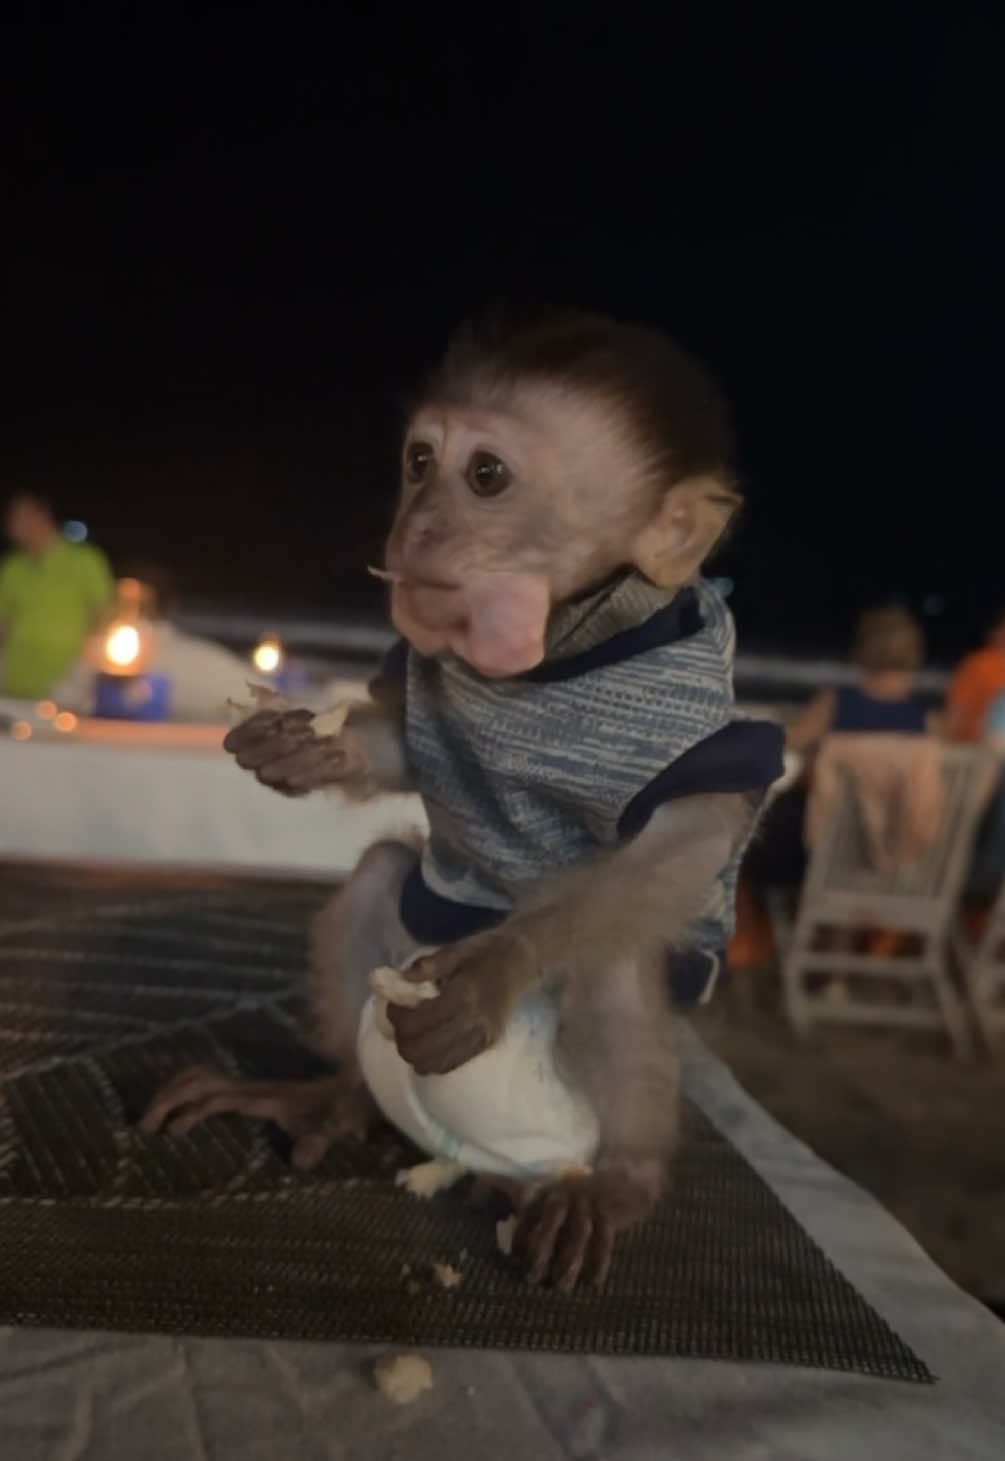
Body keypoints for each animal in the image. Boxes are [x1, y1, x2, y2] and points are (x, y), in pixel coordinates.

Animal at [142, 302, 785, 1293]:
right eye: (417, 461)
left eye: (485, 476)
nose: (411, 530)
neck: (565, 641)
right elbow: (405, 749)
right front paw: (297, 749)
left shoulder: (680, 706)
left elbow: (683, 841)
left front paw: (494, 968)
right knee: (382, 872)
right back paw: (336, 1094)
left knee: (612, 955)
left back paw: (621, 1180)